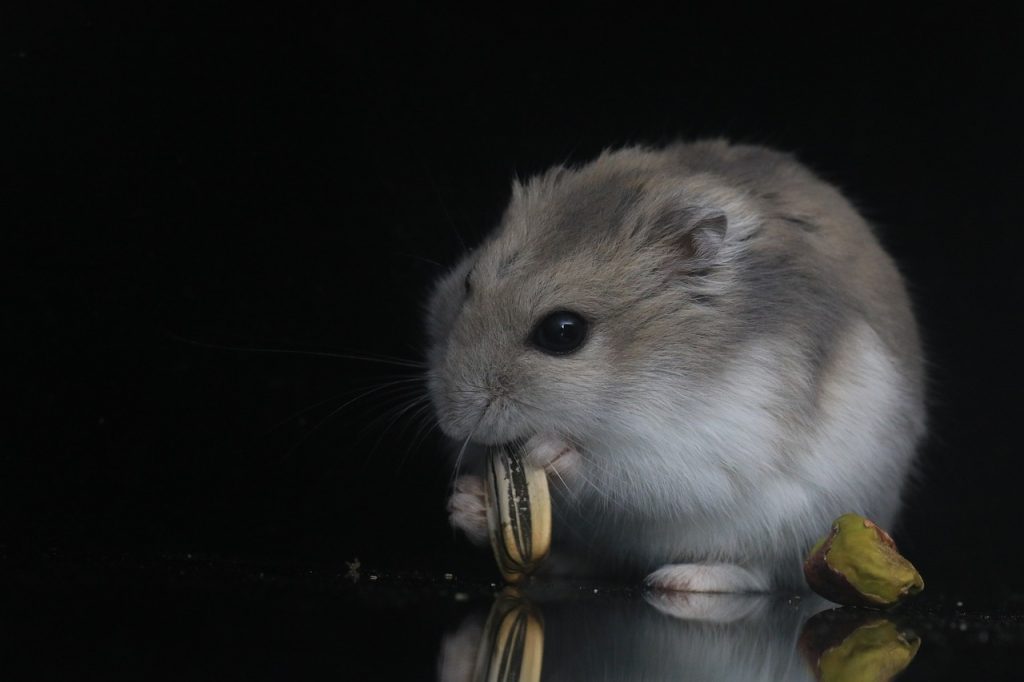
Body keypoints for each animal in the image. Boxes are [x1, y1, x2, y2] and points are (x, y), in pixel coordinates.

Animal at [426, 140, 925, 592]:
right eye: (467, 284)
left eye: (563, 332)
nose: (452, 423)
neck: (637, 374)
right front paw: (464, 502)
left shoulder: (701, 446)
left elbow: (612, 470)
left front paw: (546, 452)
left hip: (794, 525)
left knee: (755, 573)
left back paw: (682, 580)